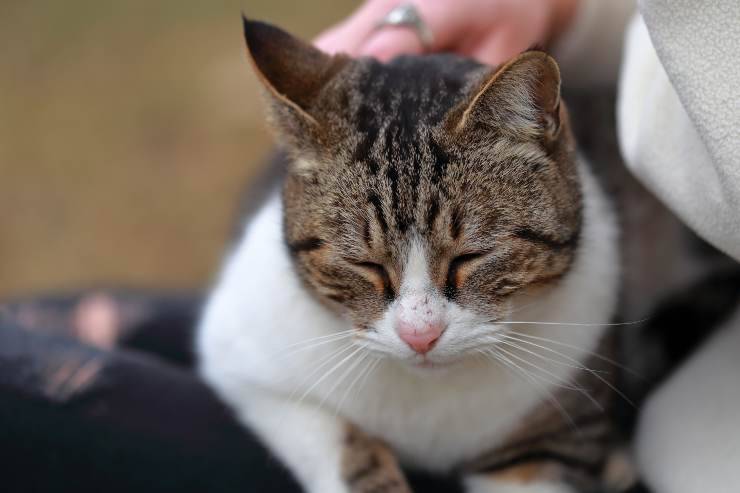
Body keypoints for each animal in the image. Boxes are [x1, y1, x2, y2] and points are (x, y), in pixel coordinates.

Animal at [199, 18, 632, 492]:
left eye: (470, 257)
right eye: (364, 264)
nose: (419, 337)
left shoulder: (550, 441)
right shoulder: (244, 363)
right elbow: (343, 445)